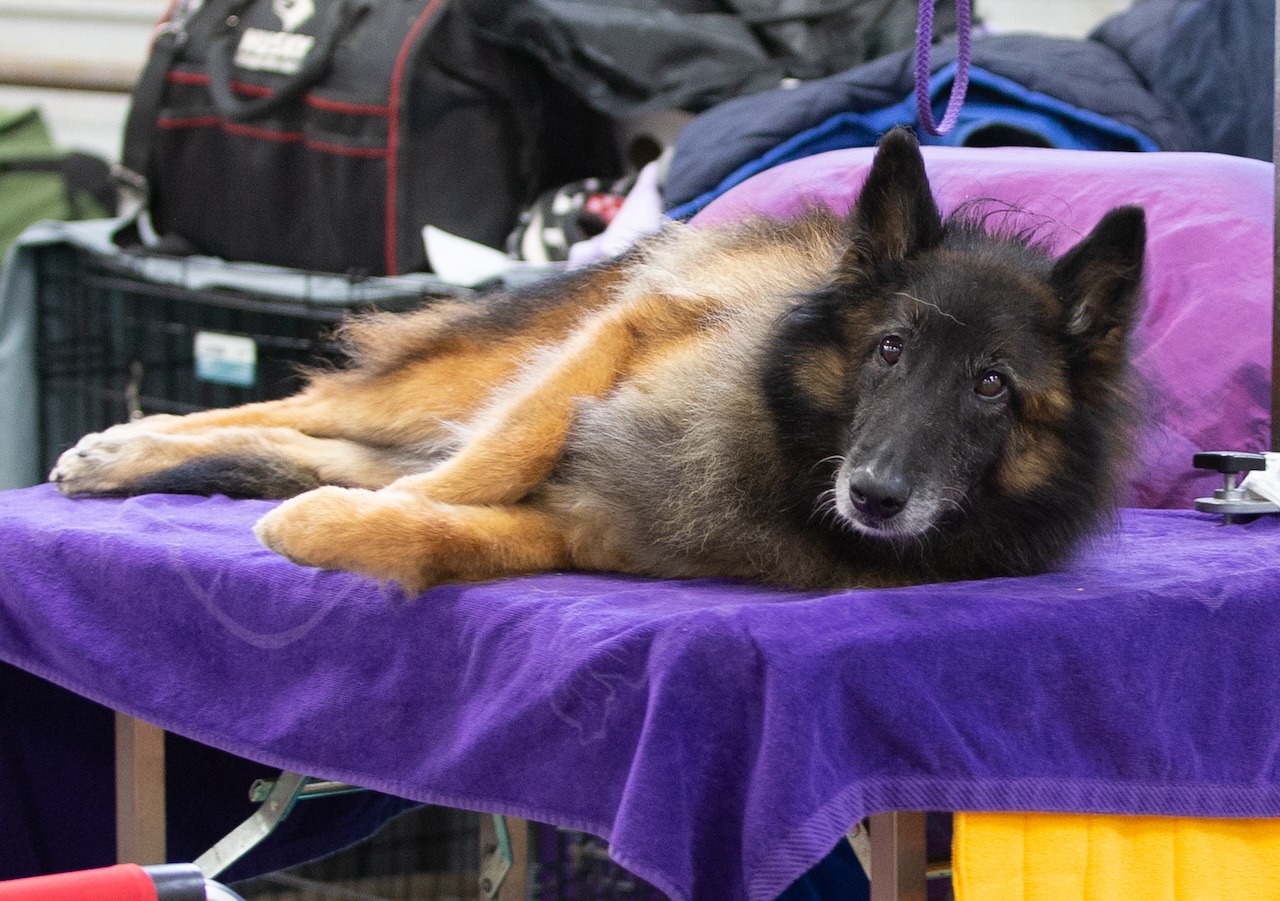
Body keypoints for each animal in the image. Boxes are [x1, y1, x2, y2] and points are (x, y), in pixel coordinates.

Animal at [50, 129, 1146, 593]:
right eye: (887, 349)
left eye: (991, 386)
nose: (875, 498)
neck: (789, 448)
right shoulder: (624, 337)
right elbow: (485, 465)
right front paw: (382, 510)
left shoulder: (601, 528)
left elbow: (450, 536)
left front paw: (346, 527)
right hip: (474, 369)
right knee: (307, 406)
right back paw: (123, 445)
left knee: (325, 443)